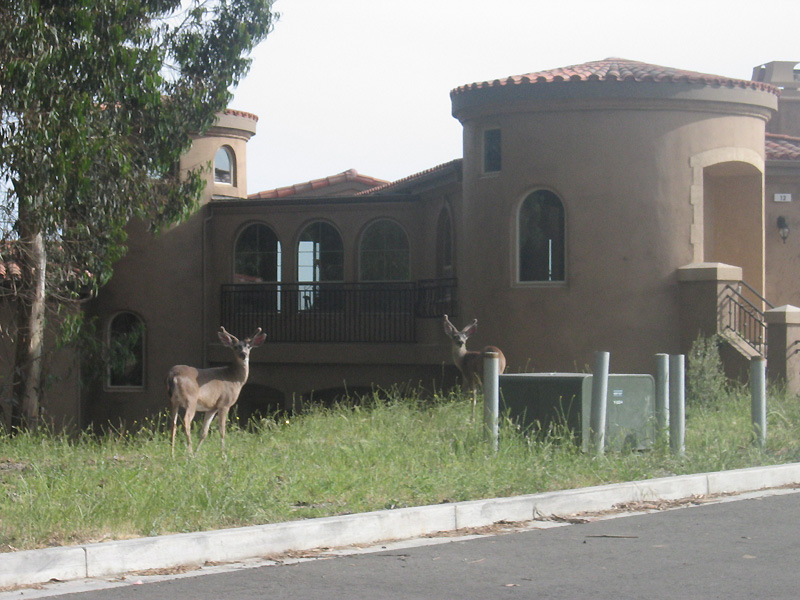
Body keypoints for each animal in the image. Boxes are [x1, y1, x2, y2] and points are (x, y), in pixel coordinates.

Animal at [167, 326, 268, 458]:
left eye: (249, 346)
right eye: (235, 346)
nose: (243, 354)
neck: (234, 379)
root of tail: (173, 375)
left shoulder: (211, 407)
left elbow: (204, 432)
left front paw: (197, 453)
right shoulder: (224, 403)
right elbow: (222, 430)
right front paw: (223, 455)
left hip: (174, 401)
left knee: (172, 424)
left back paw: (172, 454)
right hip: (191, 399)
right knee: (186, 421)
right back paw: (188, 451)